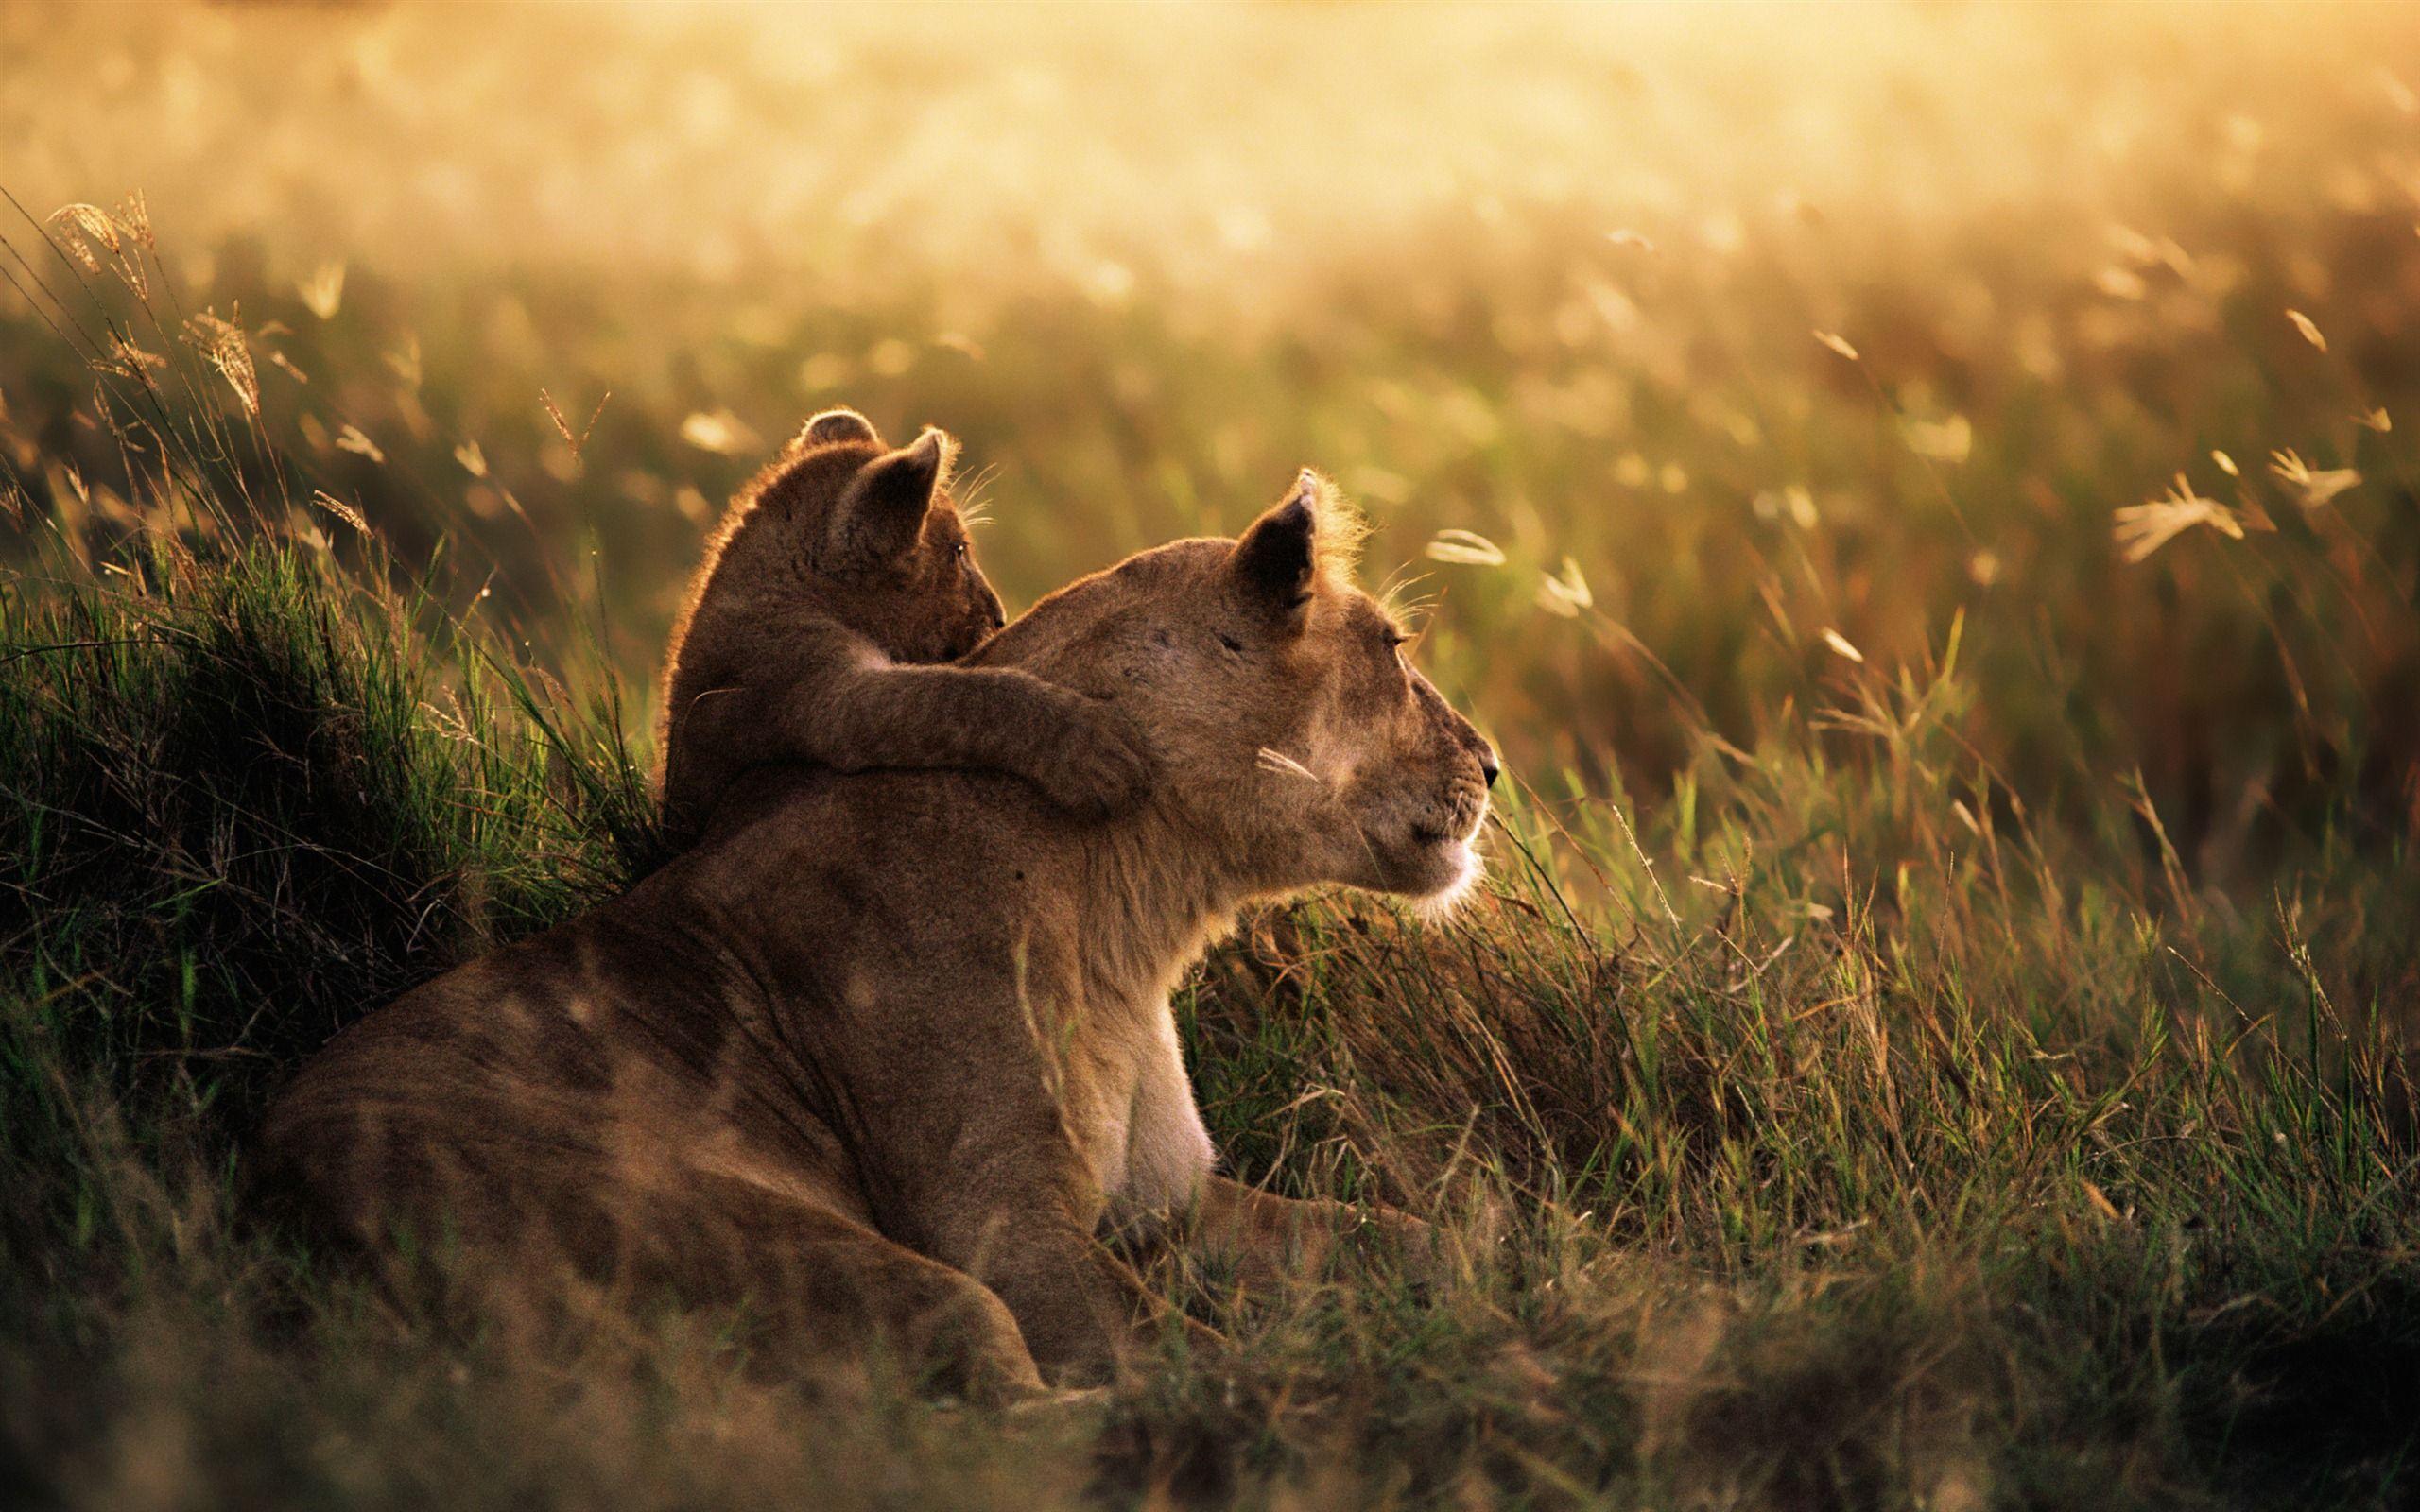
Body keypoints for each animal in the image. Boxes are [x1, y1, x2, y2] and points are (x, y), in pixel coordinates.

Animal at [261, 471, 1499, 1399]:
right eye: (1393, 646)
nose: (1491, 764)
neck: (1136, 908)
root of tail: (273, 1193)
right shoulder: (1000, 1224)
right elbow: (1181, 1357)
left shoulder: (1172, 1203)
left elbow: (1411, 1233)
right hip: (812, 1252)